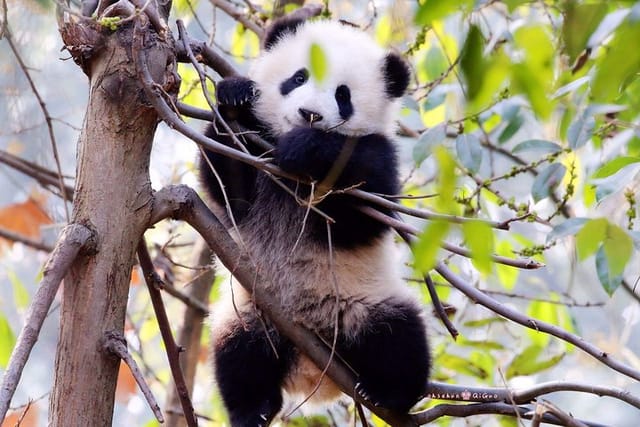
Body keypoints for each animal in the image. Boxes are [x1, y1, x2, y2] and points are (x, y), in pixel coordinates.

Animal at [200, 14, 430, 427]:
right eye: (298, 77)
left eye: (343, 95)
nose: (310, 115)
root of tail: (312, 371)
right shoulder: (255, 161)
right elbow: (229, 189)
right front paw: (235, 100)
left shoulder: (379, 157)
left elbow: (359, 212)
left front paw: (306, 148)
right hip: (250, 310)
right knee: (239, 357)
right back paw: (253, 410)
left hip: (365, 302)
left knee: (399, 338)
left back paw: (389, 392)